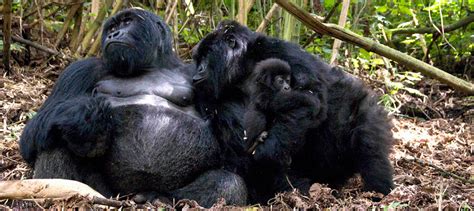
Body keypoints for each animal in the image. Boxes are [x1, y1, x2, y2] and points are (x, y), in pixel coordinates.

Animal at [19, 9, 246, 207]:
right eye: (112, 27)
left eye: (127, 22)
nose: (113, 34)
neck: (153, 65)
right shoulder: (80, 69)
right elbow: (32, 134)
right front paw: (81, 116)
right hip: (108, 193)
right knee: (55, 141)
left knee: (229, 183)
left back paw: (162, 199)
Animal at [191, 20, 394, 204]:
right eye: (198, 58)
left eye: (207, 55)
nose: (197, 71)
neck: (243, 64)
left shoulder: (278, 51)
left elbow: (309, 99)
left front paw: (267, 151)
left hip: (360, 109)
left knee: (368, 143)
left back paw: (378, 191)